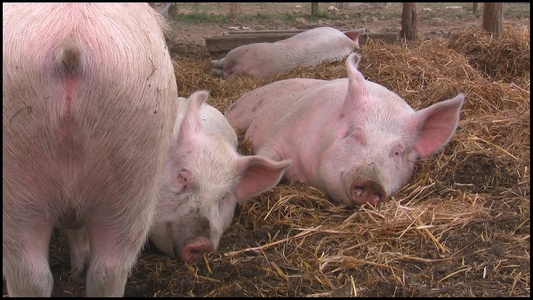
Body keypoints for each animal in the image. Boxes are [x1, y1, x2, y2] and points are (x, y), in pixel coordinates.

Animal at [222, 52, 464, 209]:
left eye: (398, 152)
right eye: (354, 135)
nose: (371, 180)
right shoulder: (281, 131)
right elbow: (267, 156)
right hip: (241, 111)